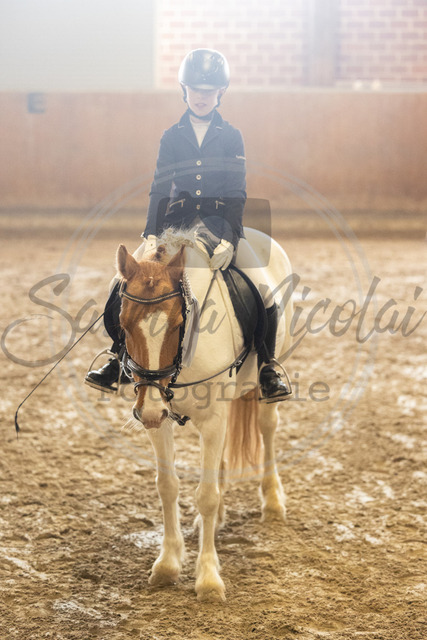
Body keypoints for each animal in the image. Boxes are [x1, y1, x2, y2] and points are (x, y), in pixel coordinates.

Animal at [116, 228, 293, 602]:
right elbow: (167, 486)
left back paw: (272, 502)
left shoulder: (212, 419)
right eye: (122, 323)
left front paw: (209, 579)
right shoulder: (159, 419)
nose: (149, 411)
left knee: (267, 427)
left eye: (177, 324)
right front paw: (167, 565)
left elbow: (206, 497)